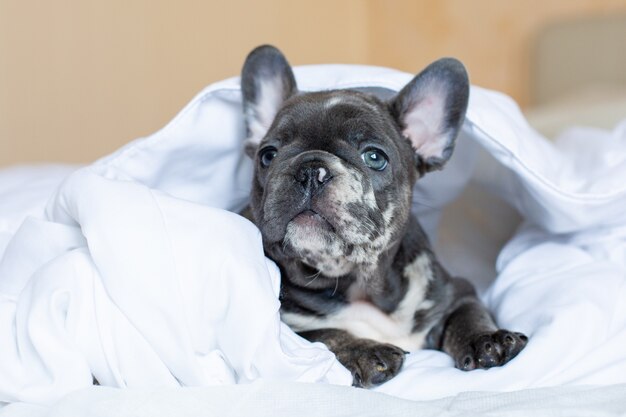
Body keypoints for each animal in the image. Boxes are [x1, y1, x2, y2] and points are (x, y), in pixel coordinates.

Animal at [239, 45, 528, 386]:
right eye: (267, 155)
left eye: (374, 157)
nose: (310, 169)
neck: (363, 287)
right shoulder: (288, 331)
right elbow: (325, 334)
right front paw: (366, 351)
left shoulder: (457, 292)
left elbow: (469, 315)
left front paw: (488, 339)